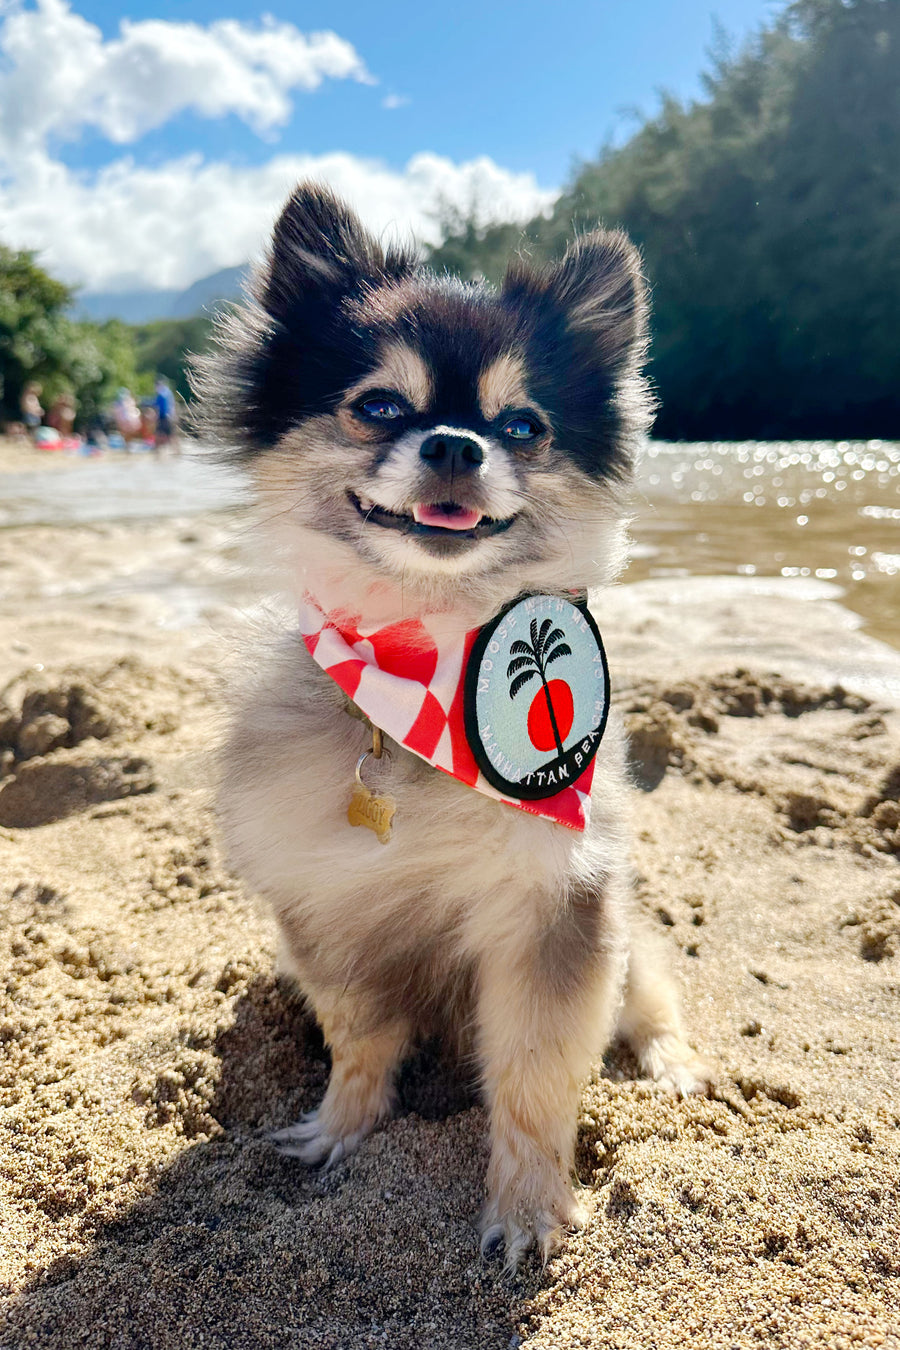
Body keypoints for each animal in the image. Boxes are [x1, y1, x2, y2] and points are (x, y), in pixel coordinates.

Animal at [198, 184, 712, 1269]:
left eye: (522, 426)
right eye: (380, 407)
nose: (455, 444)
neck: (427, 659)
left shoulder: (558, 906)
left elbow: (535, 1078)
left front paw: (527, 1210)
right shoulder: (329, 914)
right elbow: (359, 1042)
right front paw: (342, 1129)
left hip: (627, 932)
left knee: (648, 993)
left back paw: (672, 1061)